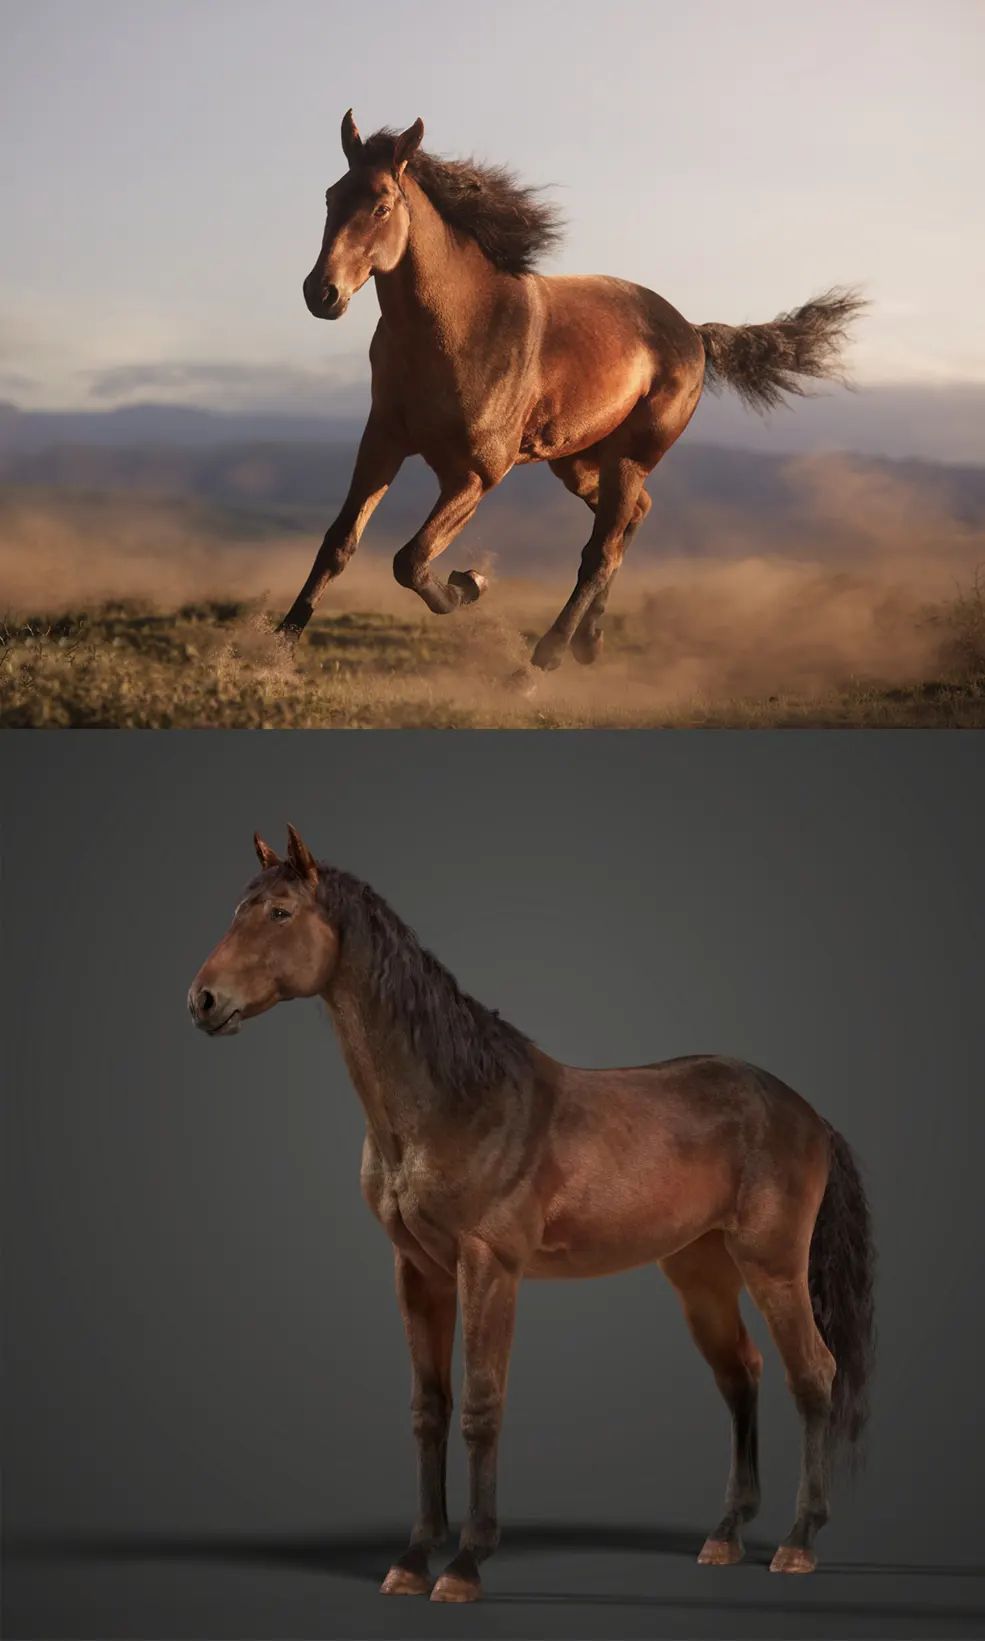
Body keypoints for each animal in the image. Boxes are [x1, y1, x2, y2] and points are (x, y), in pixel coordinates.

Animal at [187, 826, 875, 1604]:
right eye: (238, 909)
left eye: (279, 912)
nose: (203, 1000)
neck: (454, 1100)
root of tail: (808, 1114)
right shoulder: (416, 1271)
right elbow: (429, 1410)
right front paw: (413, 1557)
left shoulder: (489, 1267)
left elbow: (481, 1409)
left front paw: (464, 1564)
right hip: (700, 1276)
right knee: (742, 1375)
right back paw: (726, 1535)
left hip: (774, 1266)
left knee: (812, 1374)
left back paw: (798, 1541)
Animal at [279, 112, 866, 672]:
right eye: (331, 196)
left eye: (381, 207)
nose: (320, 292)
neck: (458, 328)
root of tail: (693, 333)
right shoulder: (383, 442)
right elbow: (339, 543)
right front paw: (281, 647)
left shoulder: (476, 474)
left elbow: (411, 559)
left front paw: (471, 584)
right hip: (580, 463)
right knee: (632, 520)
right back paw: (589, 639)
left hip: (627, 458)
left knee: (601, 550)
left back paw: (548, 655)